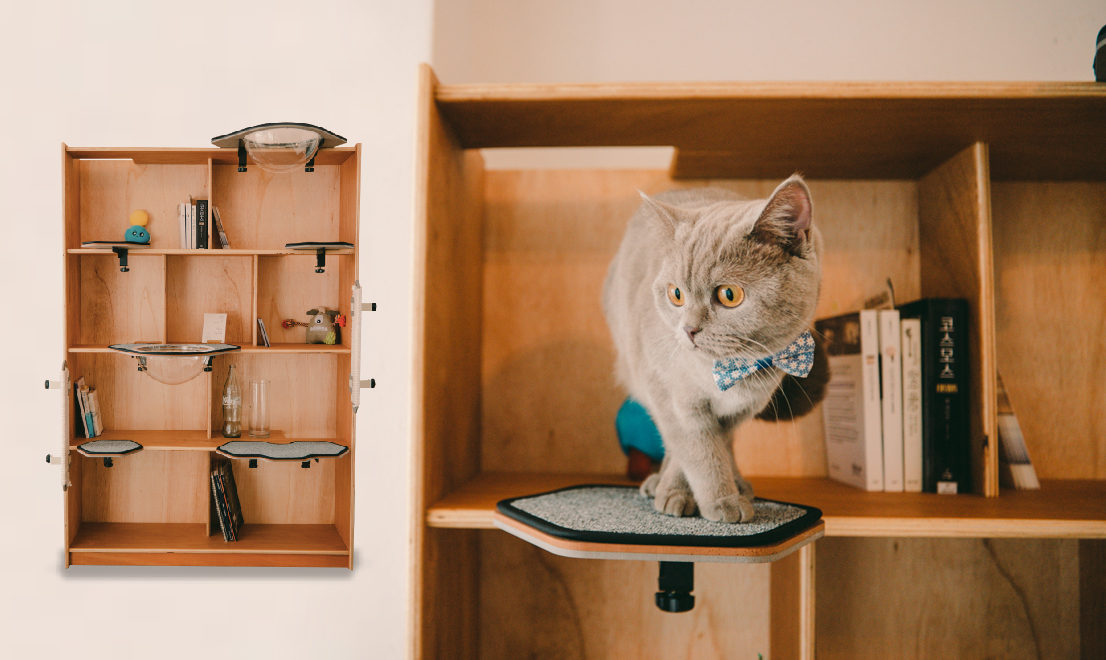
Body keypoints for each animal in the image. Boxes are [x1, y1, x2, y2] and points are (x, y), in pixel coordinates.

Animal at [606, 175, 822, 519]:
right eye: (676, 294)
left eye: (729, 295)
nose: (688, 329)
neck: (729, 368)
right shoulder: (672, 396)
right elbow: (698, 451)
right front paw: (714, 500)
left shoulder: (742, 408)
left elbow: (717, 445)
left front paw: (720, 491)